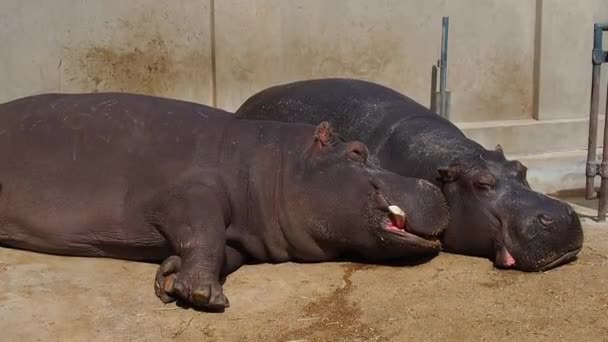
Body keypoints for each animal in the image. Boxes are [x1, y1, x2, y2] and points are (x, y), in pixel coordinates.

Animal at [0, 92, 446, 312]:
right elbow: (205, 233)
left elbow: (224, 251)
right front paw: (203, 295)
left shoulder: (241, 235)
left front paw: (169, 277)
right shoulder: (186, 194)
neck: (274, 166)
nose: (433, 181)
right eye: (357, 151)